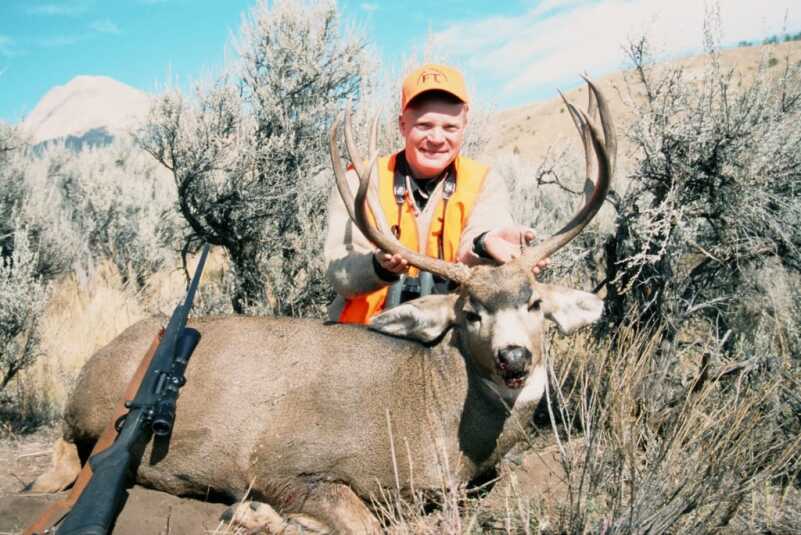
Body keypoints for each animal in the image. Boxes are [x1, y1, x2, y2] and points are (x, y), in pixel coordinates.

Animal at [26, 78, 615, 534]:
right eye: (469, 312)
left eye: (535, 303)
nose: (514, 358)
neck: (428, 418)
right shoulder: (284, 462)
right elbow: (362, 522)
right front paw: (255, 515)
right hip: (89, 401)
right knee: (68, 449)